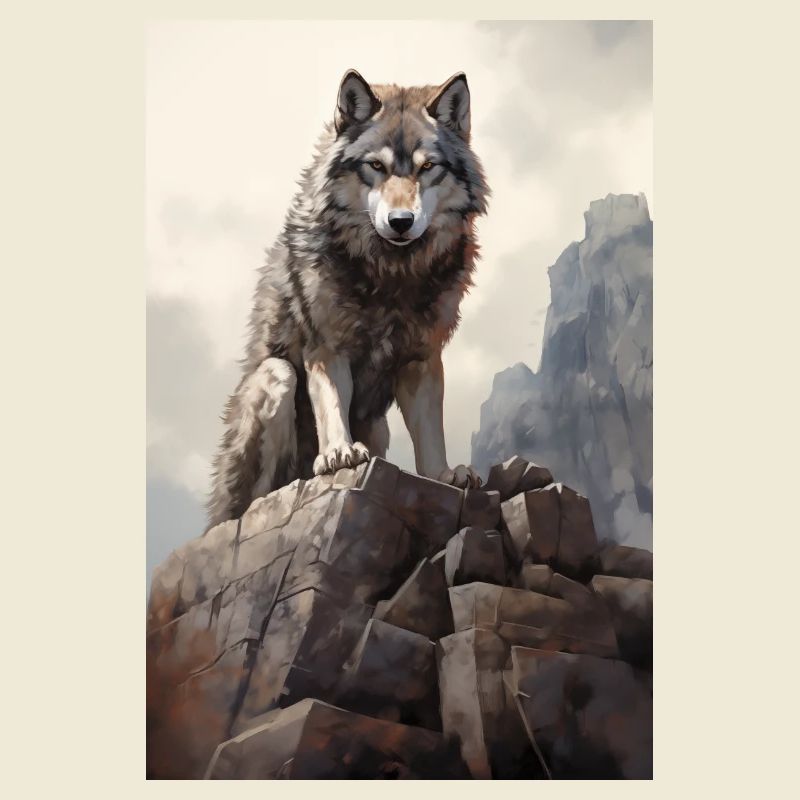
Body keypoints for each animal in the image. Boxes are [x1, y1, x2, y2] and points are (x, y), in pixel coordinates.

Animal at [207, 69, 490, 526]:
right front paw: (338, 454)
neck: (391, 274)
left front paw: (446, 475)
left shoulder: (422, 358)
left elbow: (431, 434)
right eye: (376, 166)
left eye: (428, 168)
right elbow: (331, 406)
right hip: (276, 376)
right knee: (251, 501)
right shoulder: (326, 347)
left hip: (378, 426)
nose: (401, 221)